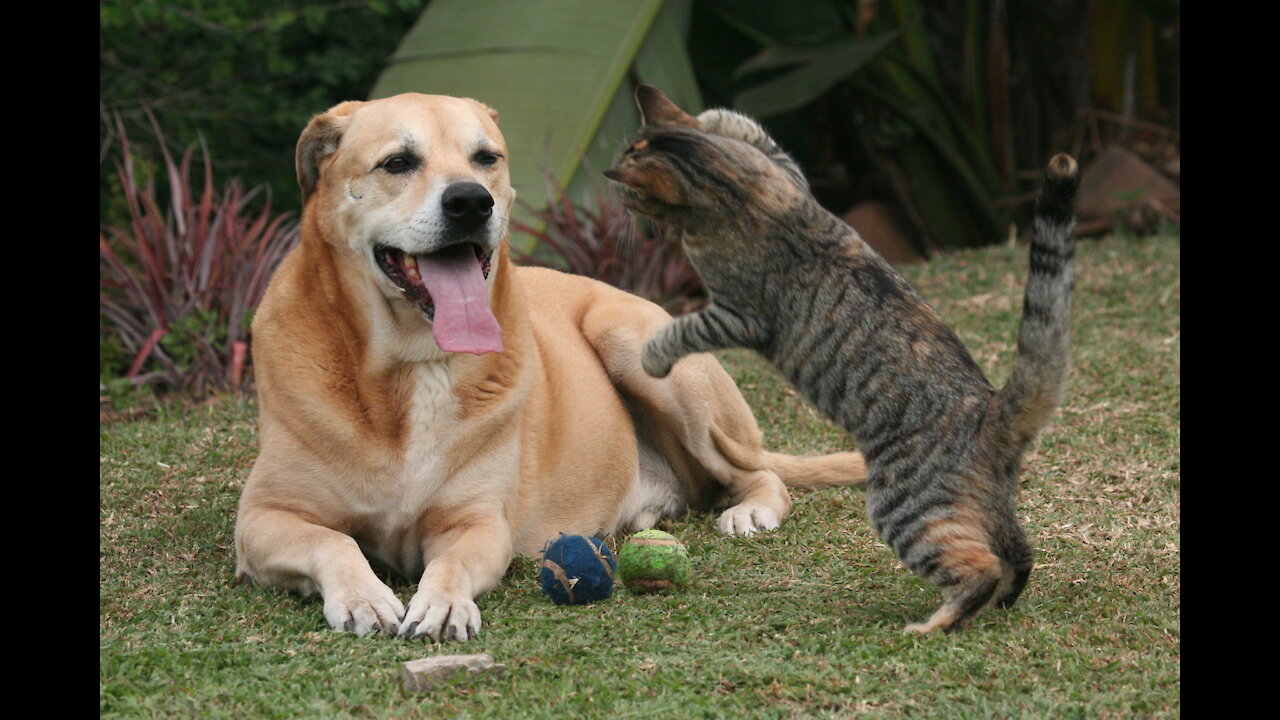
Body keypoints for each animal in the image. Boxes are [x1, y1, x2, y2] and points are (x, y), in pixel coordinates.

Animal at [234, 94, 865, 638]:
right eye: (398, 162)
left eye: (486, 158)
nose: (471, 201)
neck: (411, 368)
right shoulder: (262, 519)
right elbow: (333, 542)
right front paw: (363, 596)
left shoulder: (480, 524)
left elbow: (453, 562)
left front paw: (443, 603)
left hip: (637, 348)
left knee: (759, 473)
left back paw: (751, 510)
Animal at [609, 85, 1080, 632]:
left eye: (629, 191)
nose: (620, 200)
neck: (737, 188)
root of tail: (990, 408)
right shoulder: (791, 175)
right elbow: (760, 135)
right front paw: (713, 118)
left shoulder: (737, 315)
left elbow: (678, 329)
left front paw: (652, 357)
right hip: (992, 509)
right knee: (1018, 555)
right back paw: (999, 602)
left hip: (904, 509)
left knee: (977, 568)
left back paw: (931, 627)